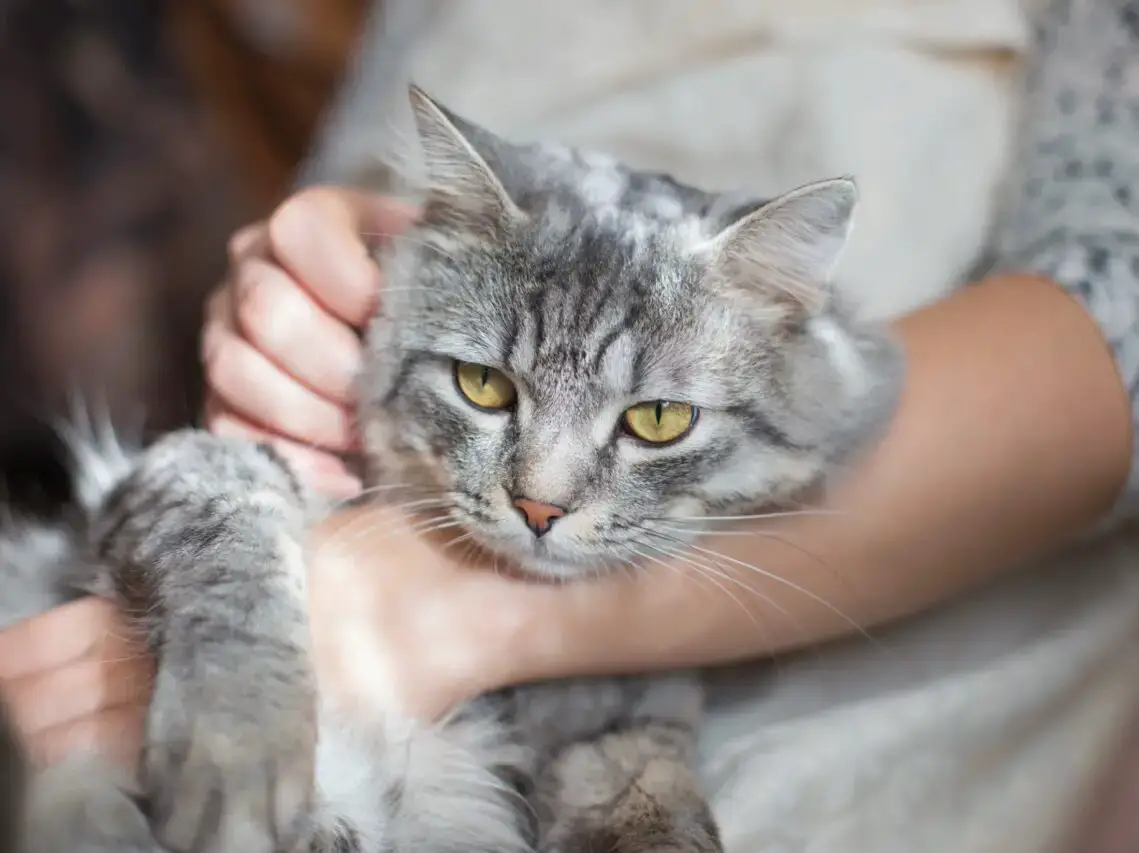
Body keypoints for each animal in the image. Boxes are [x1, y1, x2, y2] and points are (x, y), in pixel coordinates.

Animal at [0, 88, 902, 851]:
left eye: (656, 420)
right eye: (483, 385)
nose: (539, 508)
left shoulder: (630, 714)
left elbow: (641, 782)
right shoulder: (190, 466)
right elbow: (234, 572)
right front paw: (238, 754)